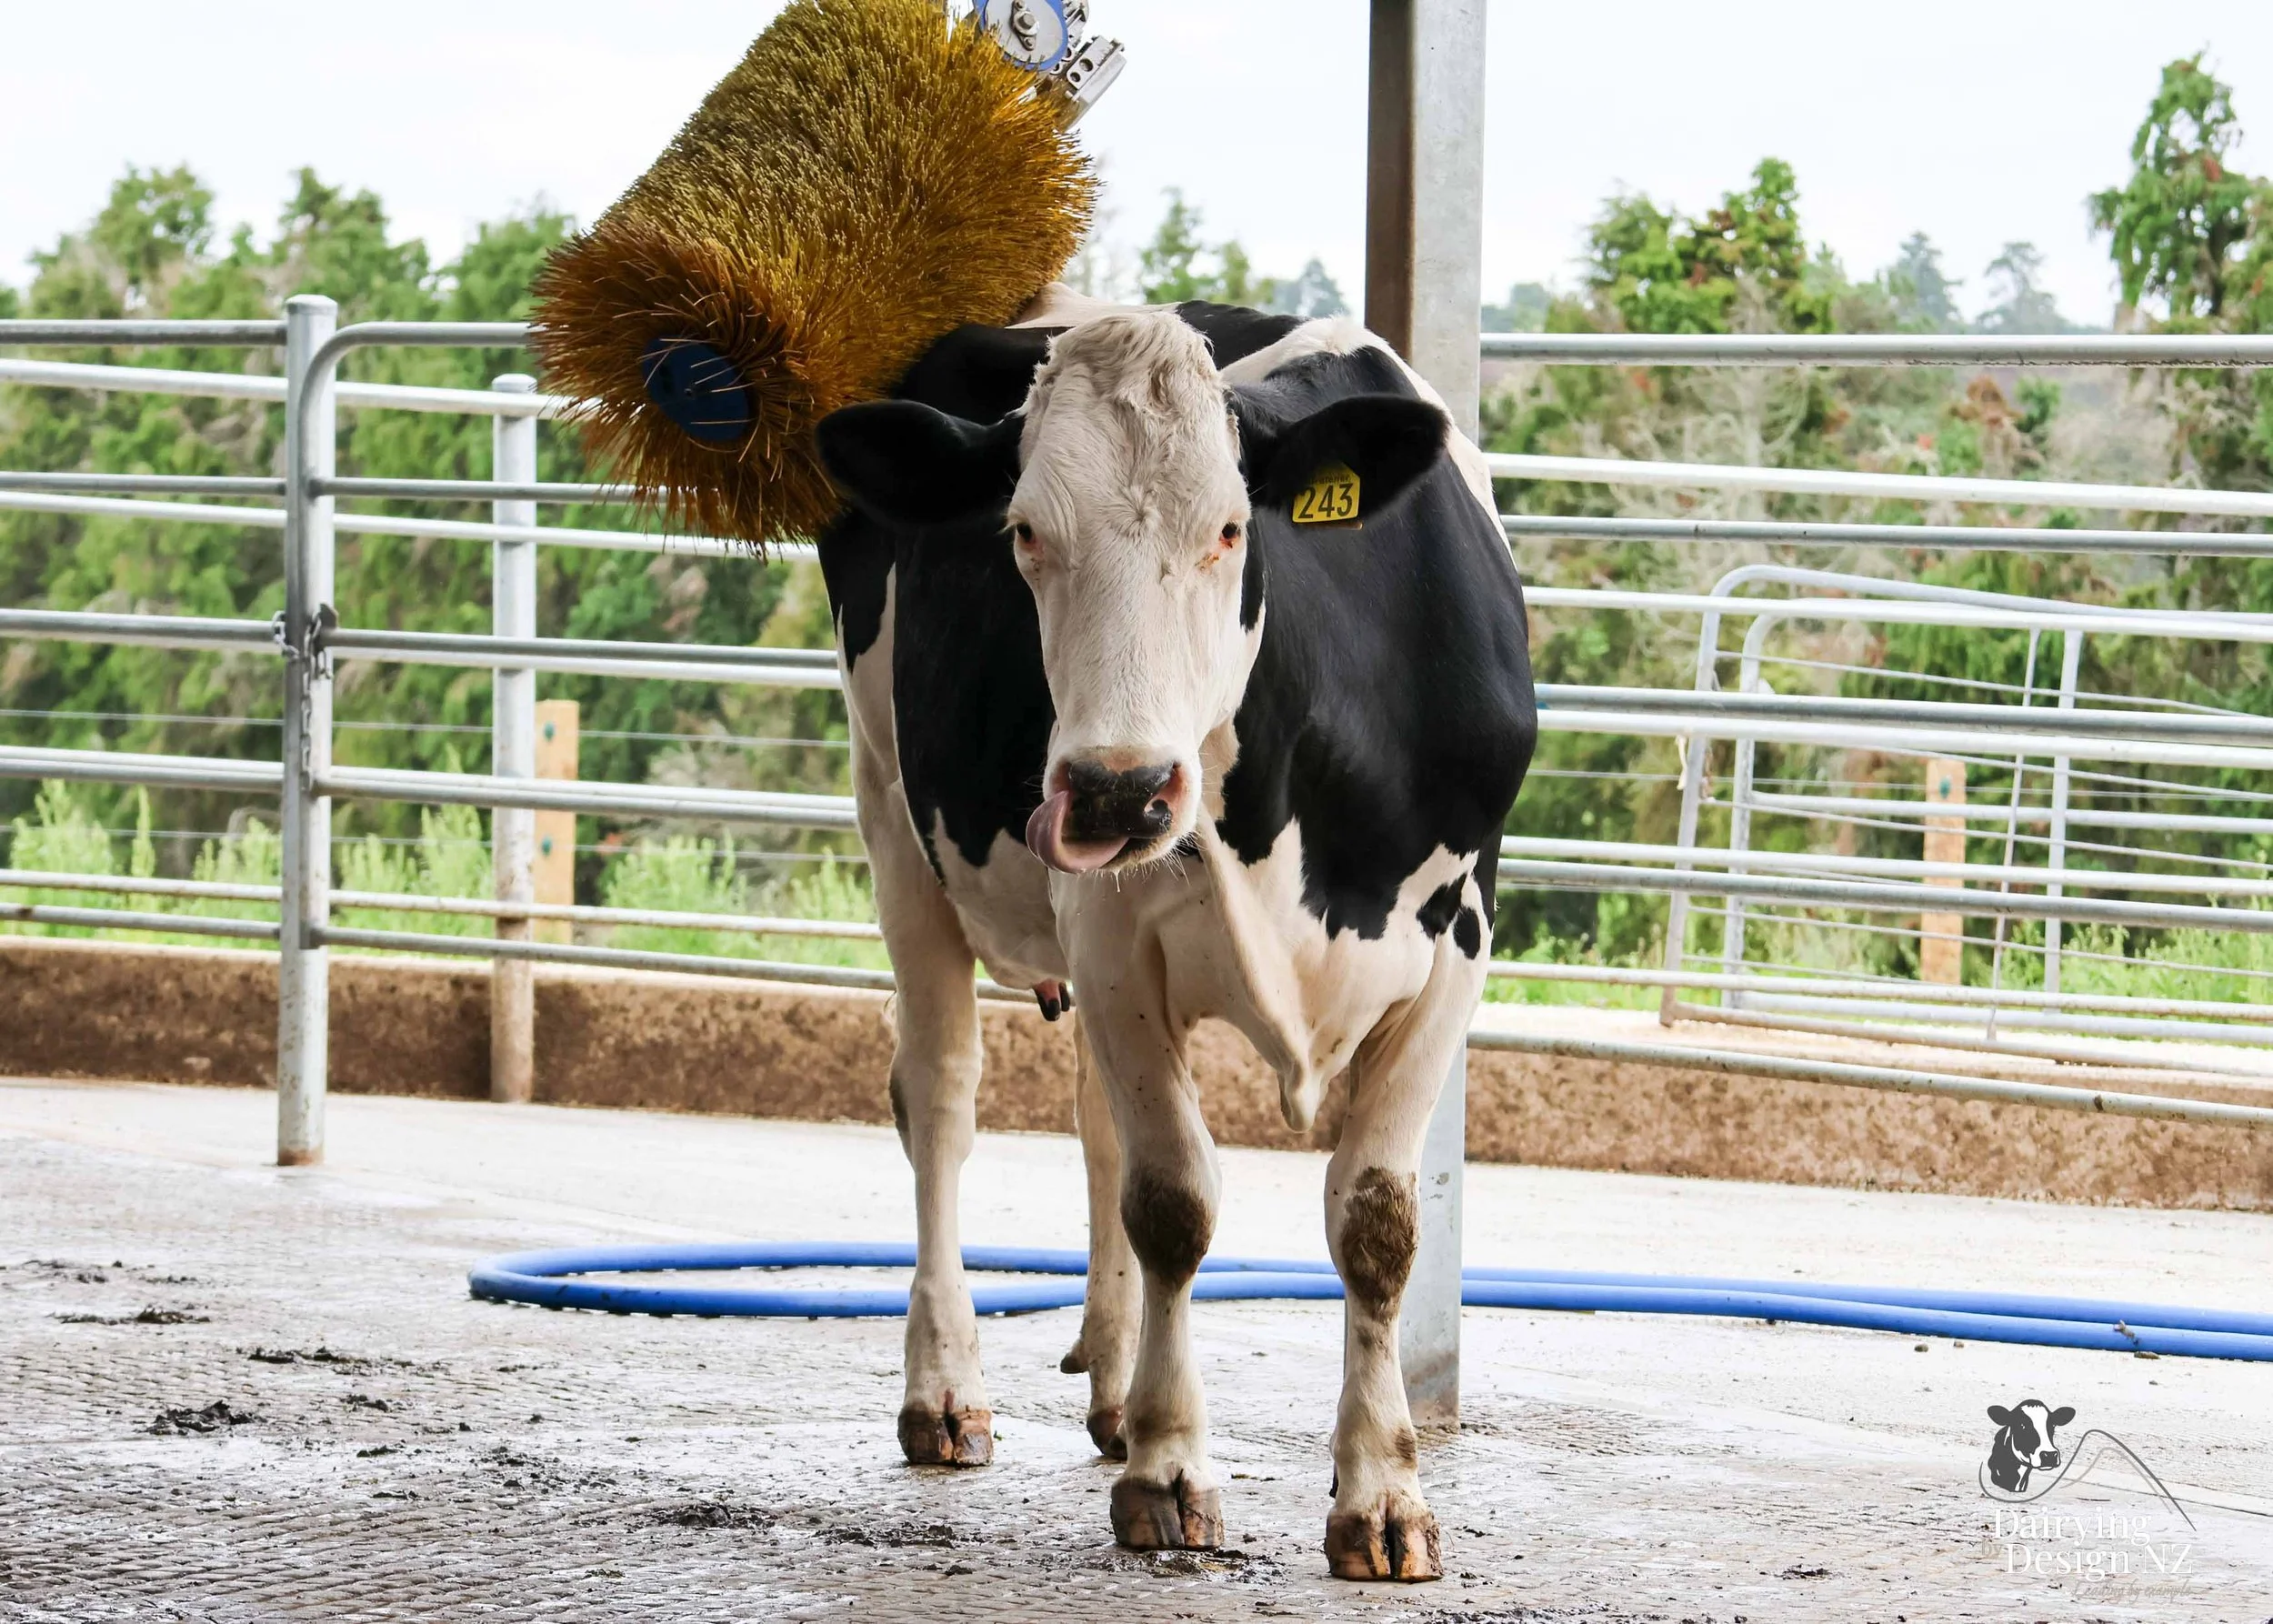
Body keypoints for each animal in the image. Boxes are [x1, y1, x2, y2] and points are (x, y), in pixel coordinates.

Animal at [812, 289, 1537, 1582]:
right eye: (1023, 533)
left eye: (1230, 529)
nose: (1116, 789)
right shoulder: (1107, 930)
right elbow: (1176, 1204)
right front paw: (1170, 1472)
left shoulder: (1459, 940)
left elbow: (1376, 1222)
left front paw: (1381, 1495)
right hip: (891, 812)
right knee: (938, 1100)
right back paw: (947, 1391)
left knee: (1095, 1121)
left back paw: (1111, 1384)